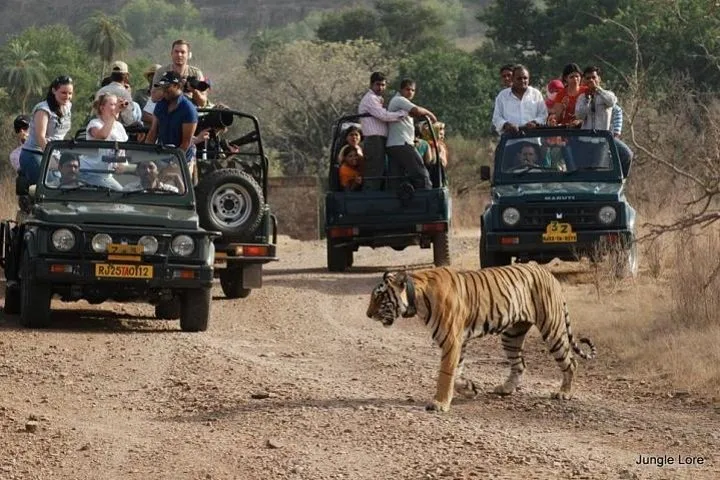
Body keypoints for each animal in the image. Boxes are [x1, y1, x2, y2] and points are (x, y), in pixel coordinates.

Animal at [366, 263, 596, 412]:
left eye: (379, 296)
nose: (368, 315)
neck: (417, 297)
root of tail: (548, 273)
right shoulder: (459, 342)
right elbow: (456, 373)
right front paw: (470, 388)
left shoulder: (452, 340)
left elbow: (445, 374)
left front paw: (440, 403)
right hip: (512, 334)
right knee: (520, 364)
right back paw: (506, 389)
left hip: (552, 328)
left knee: (571, 362)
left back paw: (564, 393)